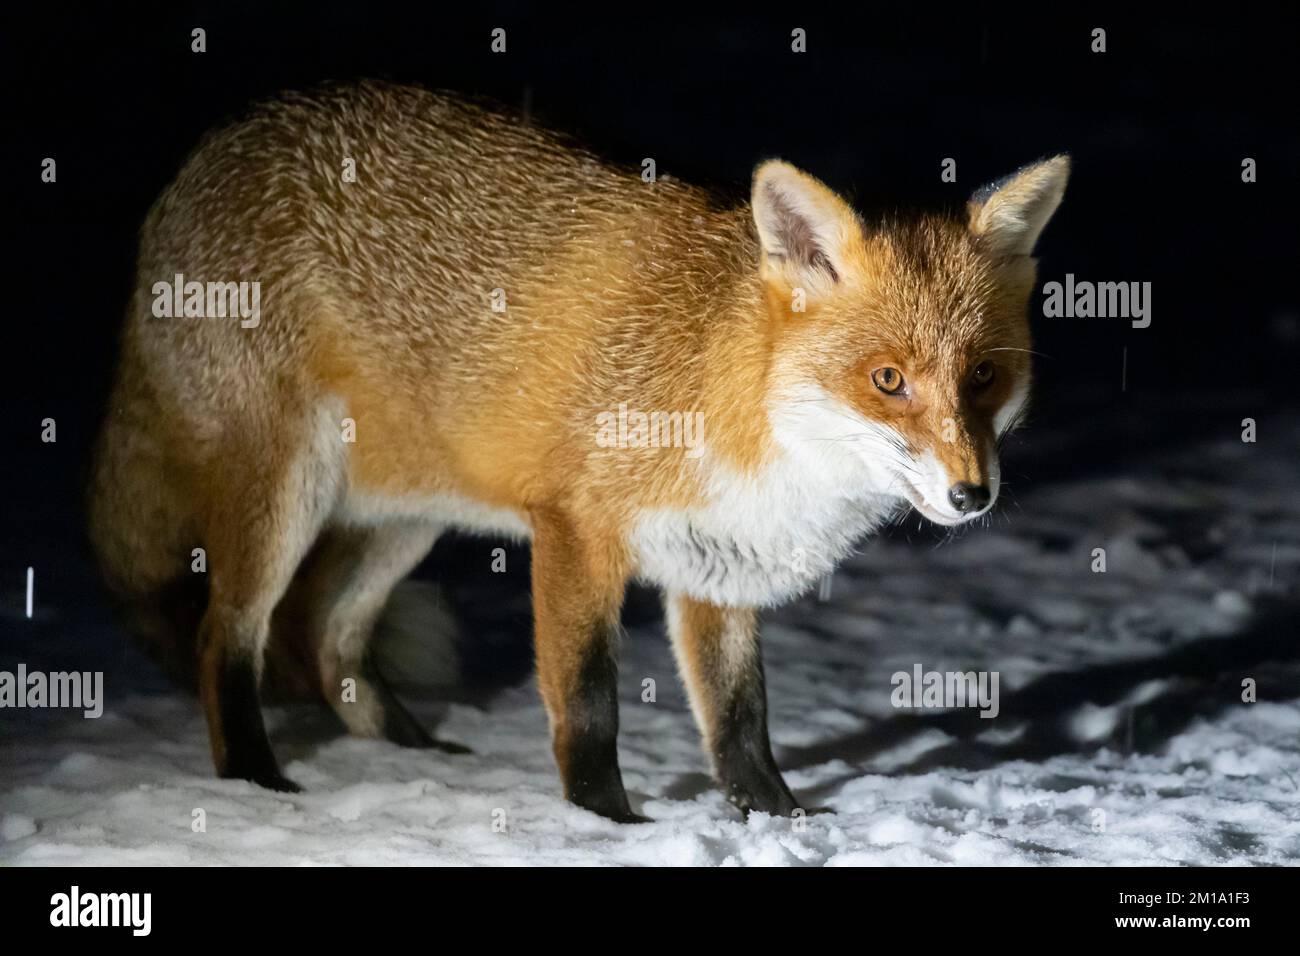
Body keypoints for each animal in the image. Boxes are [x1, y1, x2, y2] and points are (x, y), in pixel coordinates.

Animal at [89, 80, 1066, 822]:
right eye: (888, 380)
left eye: (983, 376)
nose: (973, 494)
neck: (727, 393)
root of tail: (205, 156)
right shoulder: (576, 528)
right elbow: (589, 704)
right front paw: (607, 823)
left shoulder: (719, 561)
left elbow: (739, 718)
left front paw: (776, 818)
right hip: (285, 497)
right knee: (228, 635)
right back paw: (254, 778)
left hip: (408, 517)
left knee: (328, 636)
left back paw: (415, 757)